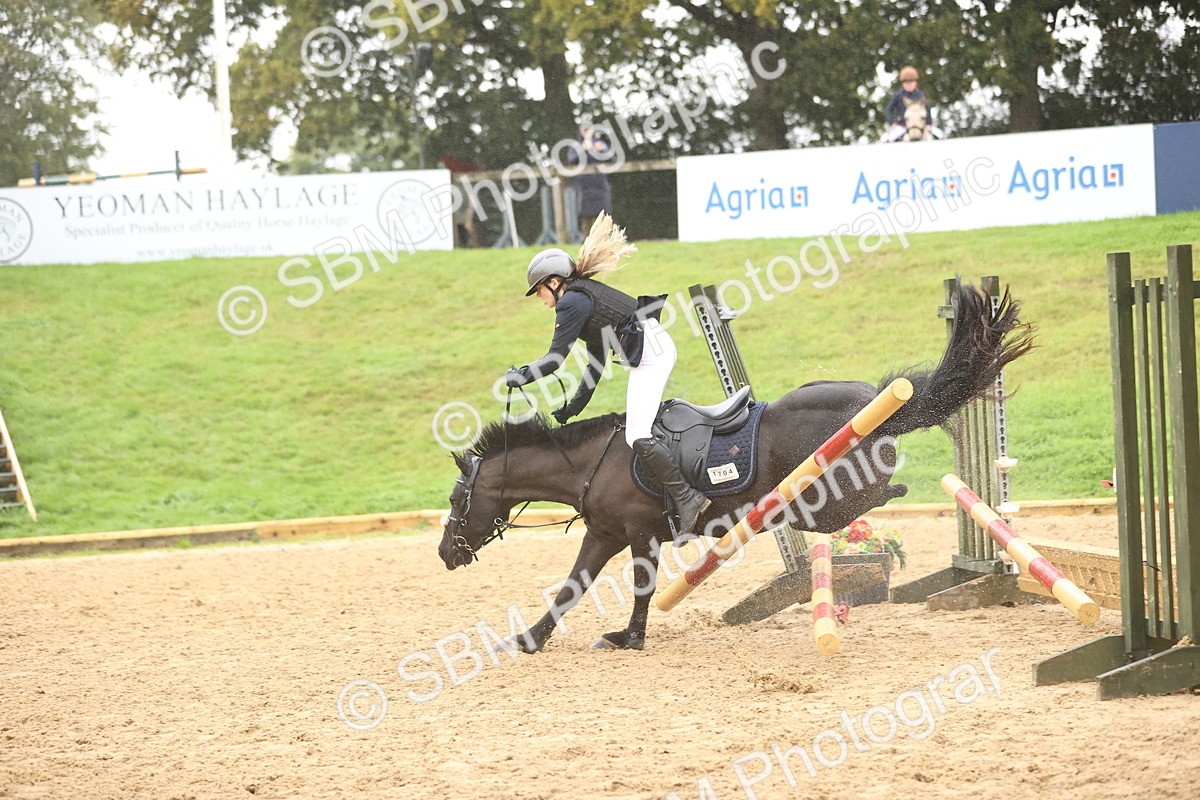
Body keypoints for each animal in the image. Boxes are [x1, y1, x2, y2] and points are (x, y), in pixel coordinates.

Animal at [438, 283, 1033, 652]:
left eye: (454, 500)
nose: (446, 554)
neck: (593, 461)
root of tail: (882, 400)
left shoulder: (638, 532)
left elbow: (639, 586)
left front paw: (629, 637)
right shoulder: (604, 533)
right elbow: (571, 588)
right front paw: (530, 638)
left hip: (831, 490)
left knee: (868, 499)